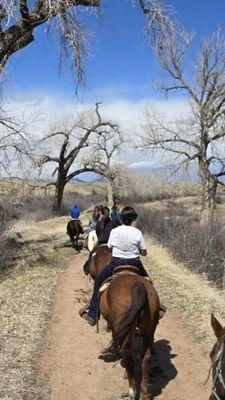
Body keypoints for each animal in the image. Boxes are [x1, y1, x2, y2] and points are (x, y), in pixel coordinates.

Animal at [100, 268, 160, 400]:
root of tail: (138, 286)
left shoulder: (115, 325)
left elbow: (115, 338)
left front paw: (115, 354)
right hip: (149, 328)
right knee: (146, 356)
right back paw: (144, 393)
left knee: (128, 354)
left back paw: (131, 391)